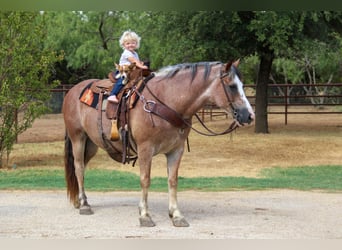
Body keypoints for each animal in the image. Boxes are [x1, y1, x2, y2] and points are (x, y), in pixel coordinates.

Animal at [62, 59, 254, 228]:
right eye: (232, 86)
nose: (249, 115)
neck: (167, 100)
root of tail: (72, 91)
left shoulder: (176, 150)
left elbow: (173, 180)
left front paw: (176, 215)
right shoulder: (145, 149)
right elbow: (145, 180)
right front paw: (145, 216)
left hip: (91, 144)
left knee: (82, 168)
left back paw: (80, 200)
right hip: (78, 138)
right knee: (79, 167)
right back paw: (84, 205)